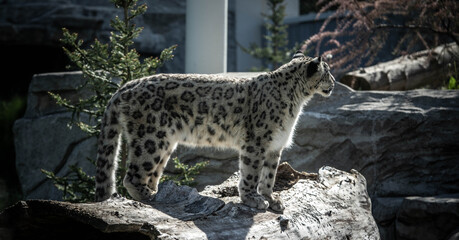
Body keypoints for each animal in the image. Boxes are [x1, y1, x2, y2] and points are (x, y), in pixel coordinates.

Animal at [95, 51, 336, 211]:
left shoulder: (275, 146)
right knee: (132, 175)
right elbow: (251, 173)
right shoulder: (256, 143)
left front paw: (272, 199)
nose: (334, 81)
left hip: (165, 143)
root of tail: (126, 86)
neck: (297, 102)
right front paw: (252, 199)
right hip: (150, 138)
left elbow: (269, 175)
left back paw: (155, 191)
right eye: (327, 72)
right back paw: (149, 196)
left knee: (153, 172)